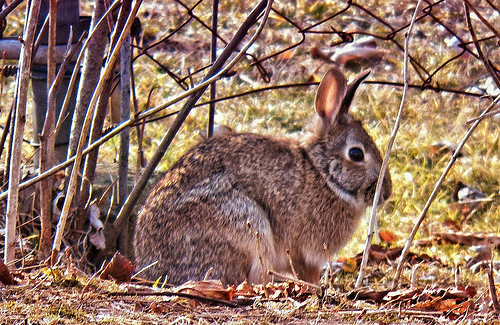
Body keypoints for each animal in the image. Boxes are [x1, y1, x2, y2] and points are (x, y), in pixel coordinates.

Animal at [135, 66, 392, 284]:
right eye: (356, 154)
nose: (386, 193)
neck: (323, 175)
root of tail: (153, 269)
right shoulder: (303, 252)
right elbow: (307, 273)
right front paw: (314, 287)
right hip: (244, 222)